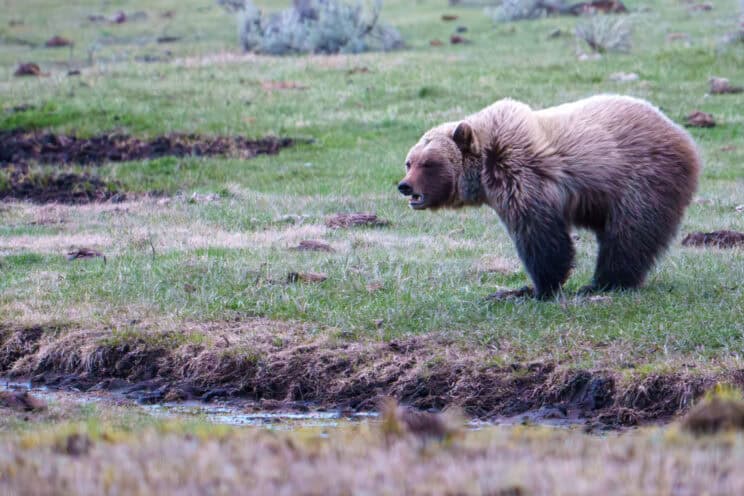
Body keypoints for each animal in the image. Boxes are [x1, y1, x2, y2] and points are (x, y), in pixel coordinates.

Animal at [397, 95, 701, 300]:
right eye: (409, 162)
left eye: (429, 163)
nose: (405, 186)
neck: (484, 167)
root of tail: (682, 135)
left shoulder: (521, 174)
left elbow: (540, 237)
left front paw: (536, 289)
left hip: (641, 178)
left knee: (630, 234)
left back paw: (604, 282)